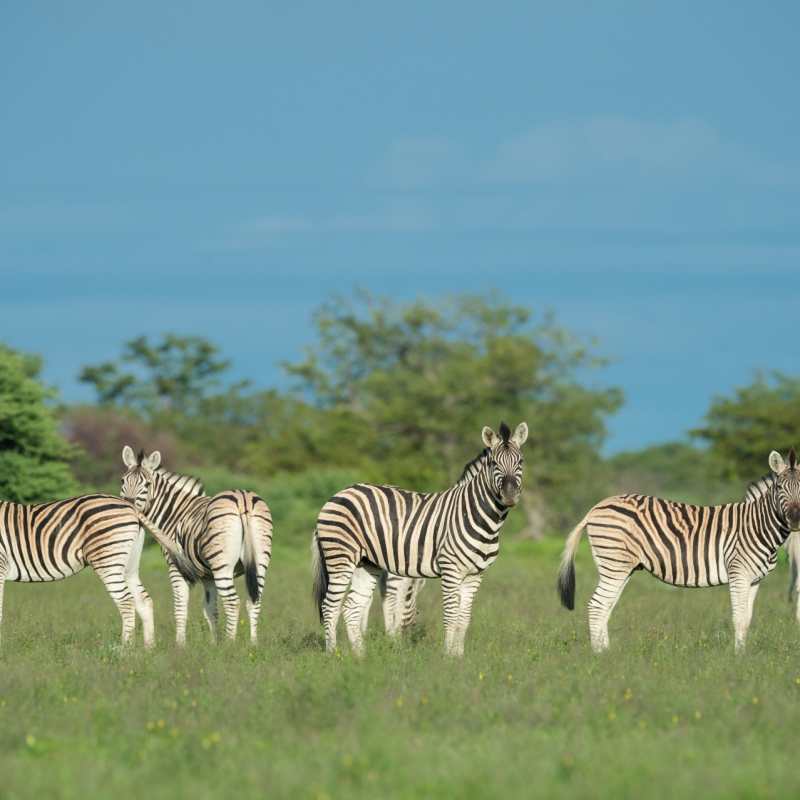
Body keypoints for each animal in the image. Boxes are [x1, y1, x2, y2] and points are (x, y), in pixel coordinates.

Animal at [0, 492, 195, 647]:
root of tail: (131, 507)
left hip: (108, 560)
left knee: (126, 601)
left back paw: (125, 650)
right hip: (129, 565)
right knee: (143, 600)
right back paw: (149, 649)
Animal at [120, 447, 273, 645]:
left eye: (147, 484)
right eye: (123, 480)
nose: (128, 505)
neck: (174, 513)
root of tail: (243, 499)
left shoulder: (176, 566)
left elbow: (180, 607)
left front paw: (180, 645)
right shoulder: (208, 576)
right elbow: (210, 610)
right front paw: (214, 644)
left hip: (222, 565)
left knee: (233, 602)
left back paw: (230, 645)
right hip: (260, 561)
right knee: (254, 601)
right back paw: (253, 644)